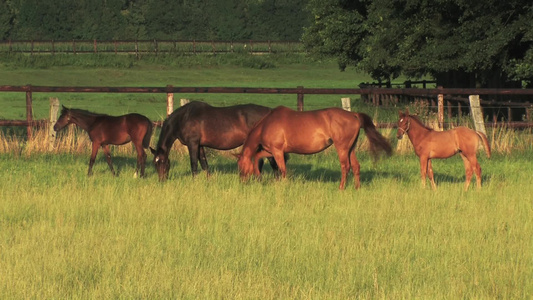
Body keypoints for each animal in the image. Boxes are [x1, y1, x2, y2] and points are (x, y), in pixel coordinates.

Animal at [237, 106, 390, 189]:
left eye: (240, 166)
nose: (242, 182)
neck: (267, 124)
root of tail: (353, 114)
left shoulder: (277, 151)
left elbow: (282, 169)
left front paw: (285, 184)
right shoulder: (270, 151)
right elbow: (257, 157)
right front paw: (258, 176)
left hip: (342, 148)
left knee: (345, 167)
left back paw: (341, 188)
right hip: (350, 148)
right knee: (356, 166)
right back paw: (357, 187)